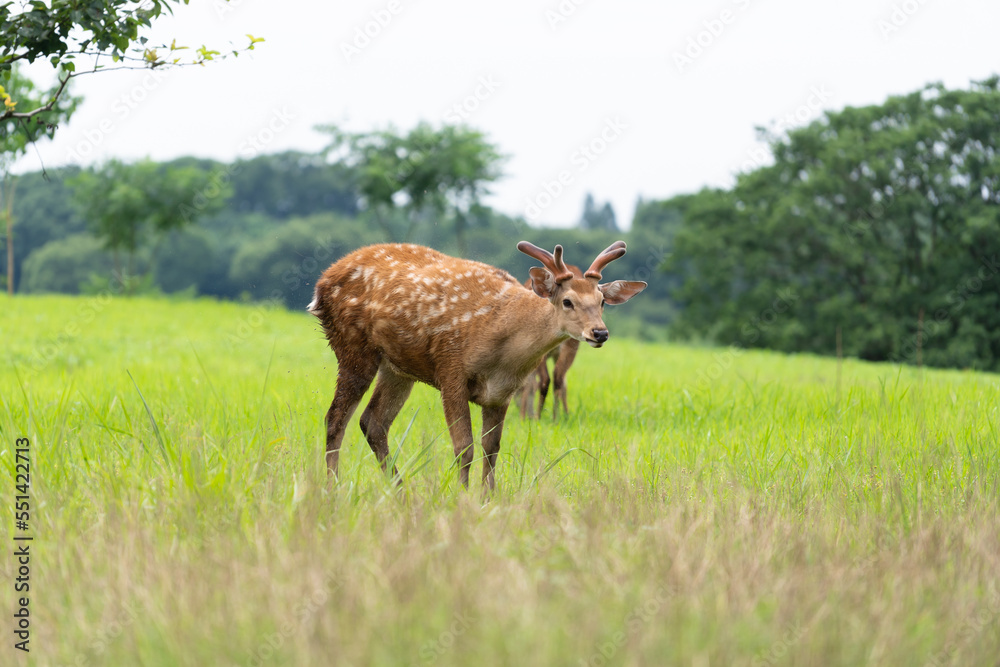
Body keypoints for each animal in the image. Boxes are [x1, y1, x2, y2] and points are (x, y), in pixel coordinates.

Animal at [516, 264, 584, 418]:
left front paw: (526, 416)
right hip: (570, 345)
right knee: (557, 377)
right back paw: (555, 417)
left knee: (544, 380)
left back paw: (537, 416)